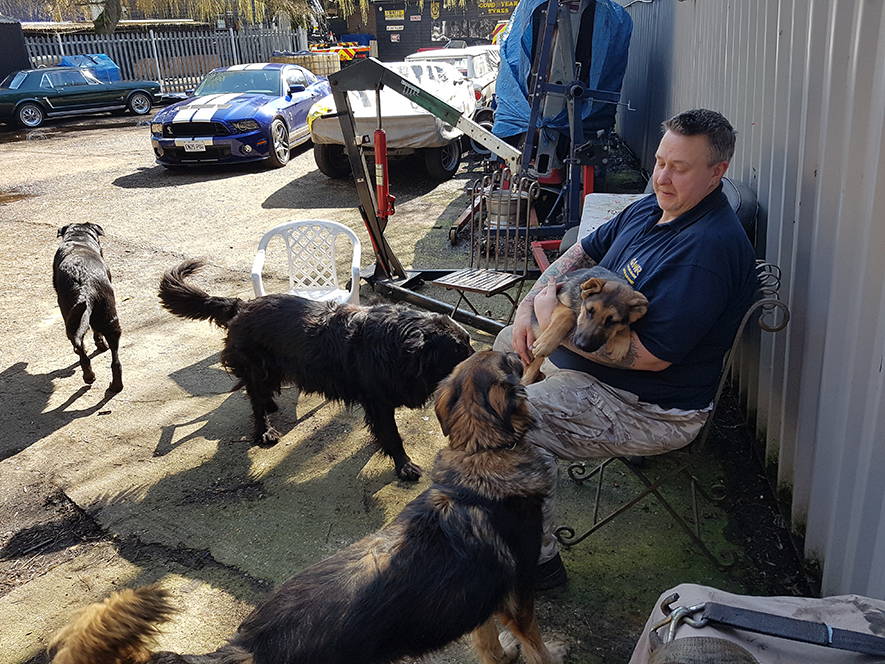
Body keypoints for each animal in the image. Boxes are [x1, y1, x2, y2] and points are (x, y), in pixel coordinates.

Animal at [48, 351, 565, 664]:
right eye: (507, 362)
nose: (523, 350)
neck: (483, 455)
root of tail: (252, 646)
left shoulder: (485, 604)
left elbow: (490, 647)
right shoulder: (518, 600)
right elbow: (537, 649)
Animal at [53, 222, 123, 393]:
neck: (78, 238)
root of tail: (85, 286)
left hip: (72, 317)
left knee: (79, 347)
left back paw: (89, 376)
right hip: (110, 320)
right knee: (115, 360)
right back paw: (114, 385)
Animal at [158, 259, 474, 480]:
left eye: (469, 342)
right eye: (459, 352)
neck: (397, 343)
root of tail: (242, 305)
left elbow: (383, 432)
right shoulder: (378, 401)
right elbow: (392, 436)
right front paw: (404, 466)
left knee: (261, 393)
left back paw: (271, 405)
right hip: (257, 367)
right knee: (255, 399)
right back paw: (264, 431)